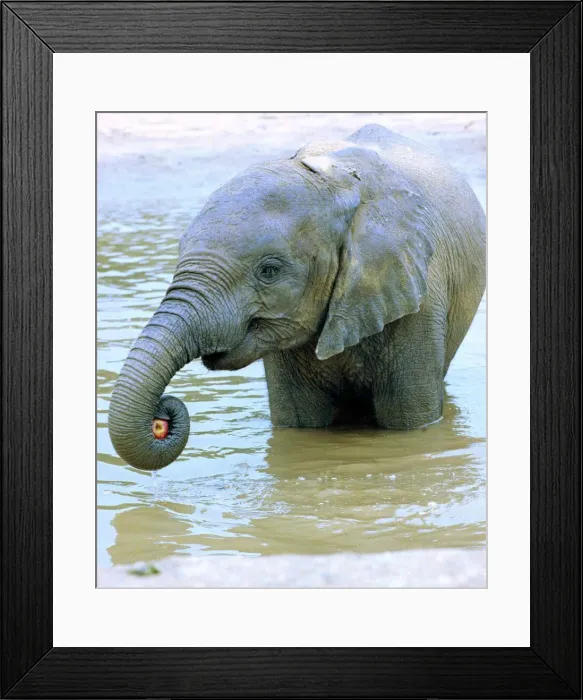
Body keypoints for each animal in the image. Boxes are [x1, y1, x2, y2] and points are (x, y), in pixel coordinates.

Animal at [108, 124, 486, 471]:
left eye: (269, 271)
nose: (161, 417)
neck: (336, 181)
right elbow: (300, 425)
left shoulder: (419, 297)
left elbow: (410, 421)